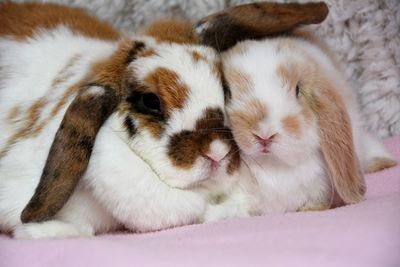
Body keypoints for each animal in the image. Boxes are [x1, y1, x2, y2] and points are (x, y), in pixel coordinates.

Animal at [203, 23, 396, 222]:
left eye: (297, 90)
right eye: (228, 92)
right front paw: (208, 215)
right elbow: (231, 208)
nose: (264, 134)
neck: (273, 166)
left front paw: (313, 208)